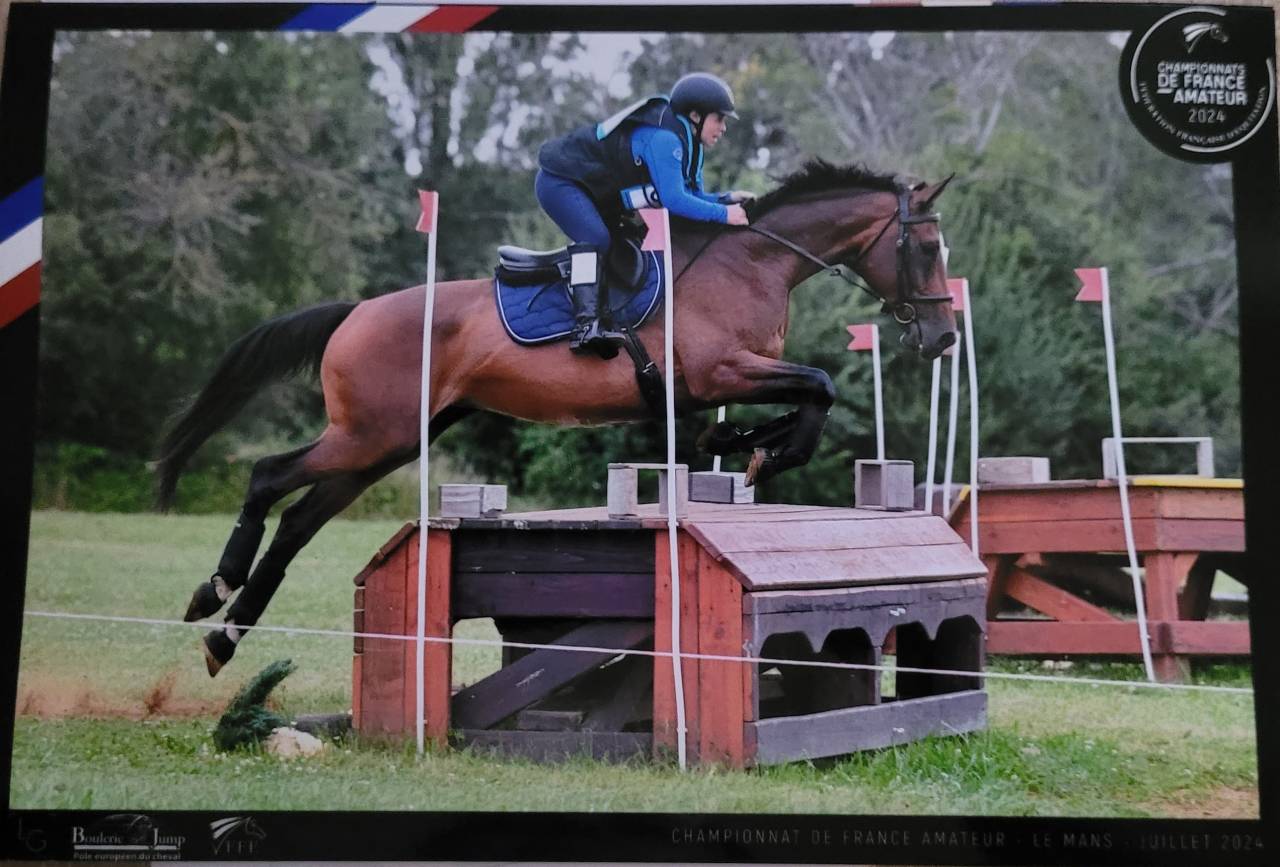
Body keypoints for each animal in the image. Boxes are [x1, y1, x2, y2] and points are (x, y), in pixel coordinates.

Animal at [155, 160, 960, 675]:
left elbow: (802, 395)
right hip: (369, 433)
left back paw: (226, 637)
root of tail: (355, 311)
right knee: (268, 477)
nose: (942, 338)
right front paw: (762, 448)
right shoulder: (719, 372)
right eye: (925, 248)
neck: (754, 261)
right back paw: (214, 593)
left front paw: (739, 441)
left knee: (299, 518)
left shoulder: (722, 380)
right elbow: (818, 387)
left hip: (388, 442)